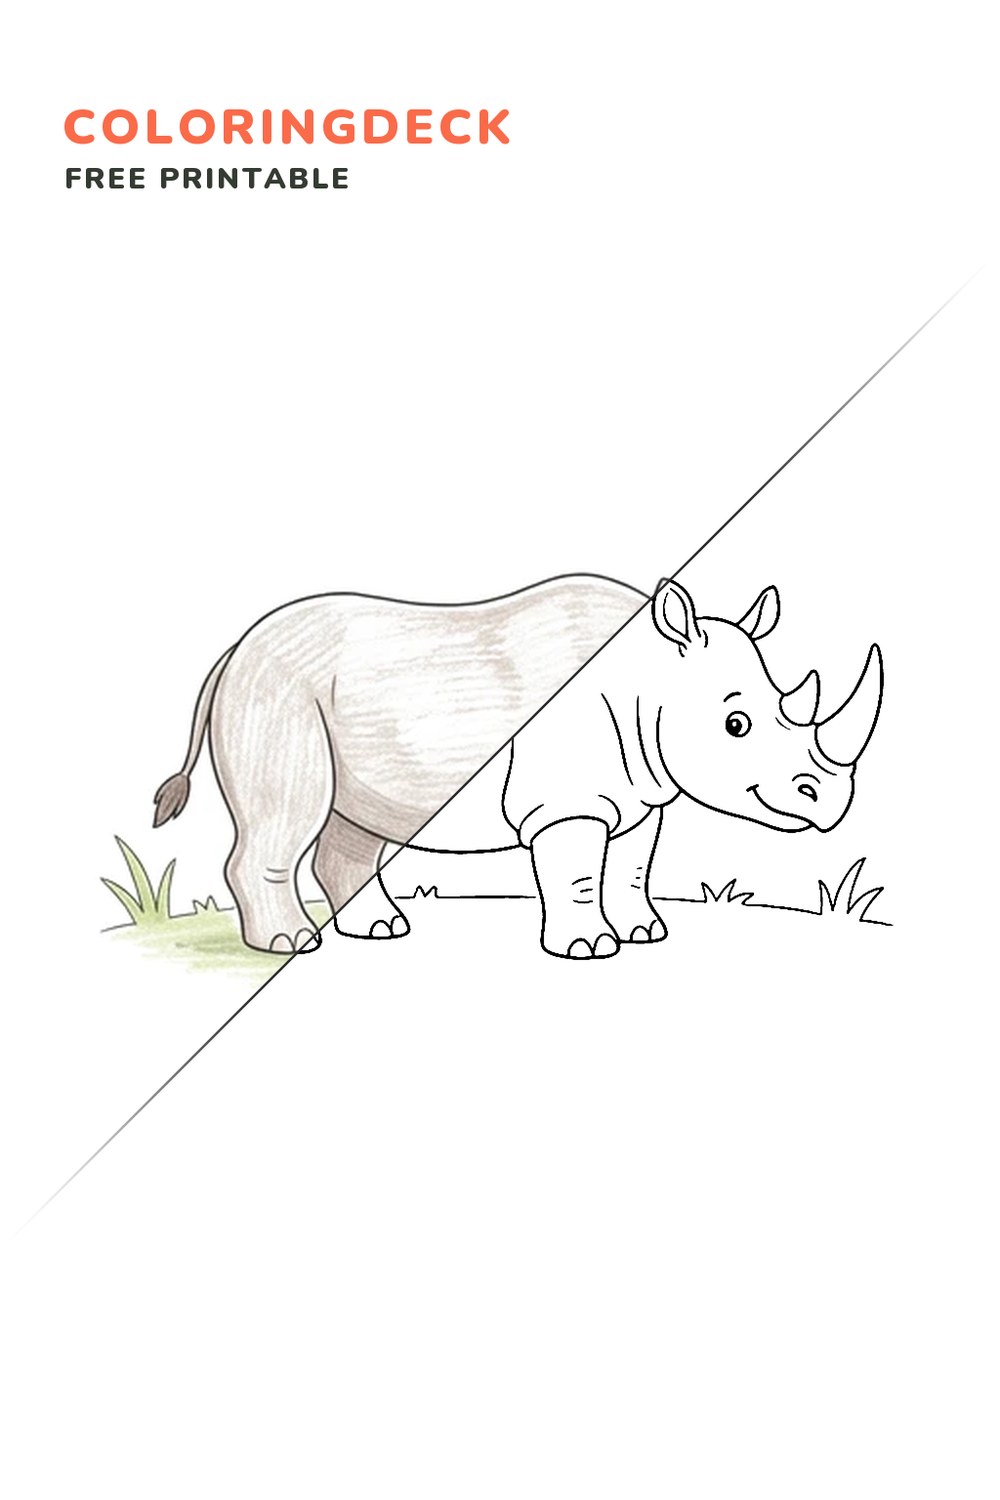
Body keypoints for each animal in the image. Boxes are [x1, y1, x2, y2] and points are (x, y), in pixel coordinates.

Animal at [153, 574, 883, 959]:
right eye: (737, 725)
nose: (830, 802)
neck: (650, 676)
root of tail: (234, 650)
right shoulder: (566, 804)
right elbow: (578, 875)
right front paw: (589, 949)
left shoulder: (645, 790)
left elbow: (634, 867)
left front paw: (646, 933)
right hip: (275, 692)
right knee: (290, 813)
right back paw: (289, 945)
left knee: (352, 823)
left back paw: (382, 930)